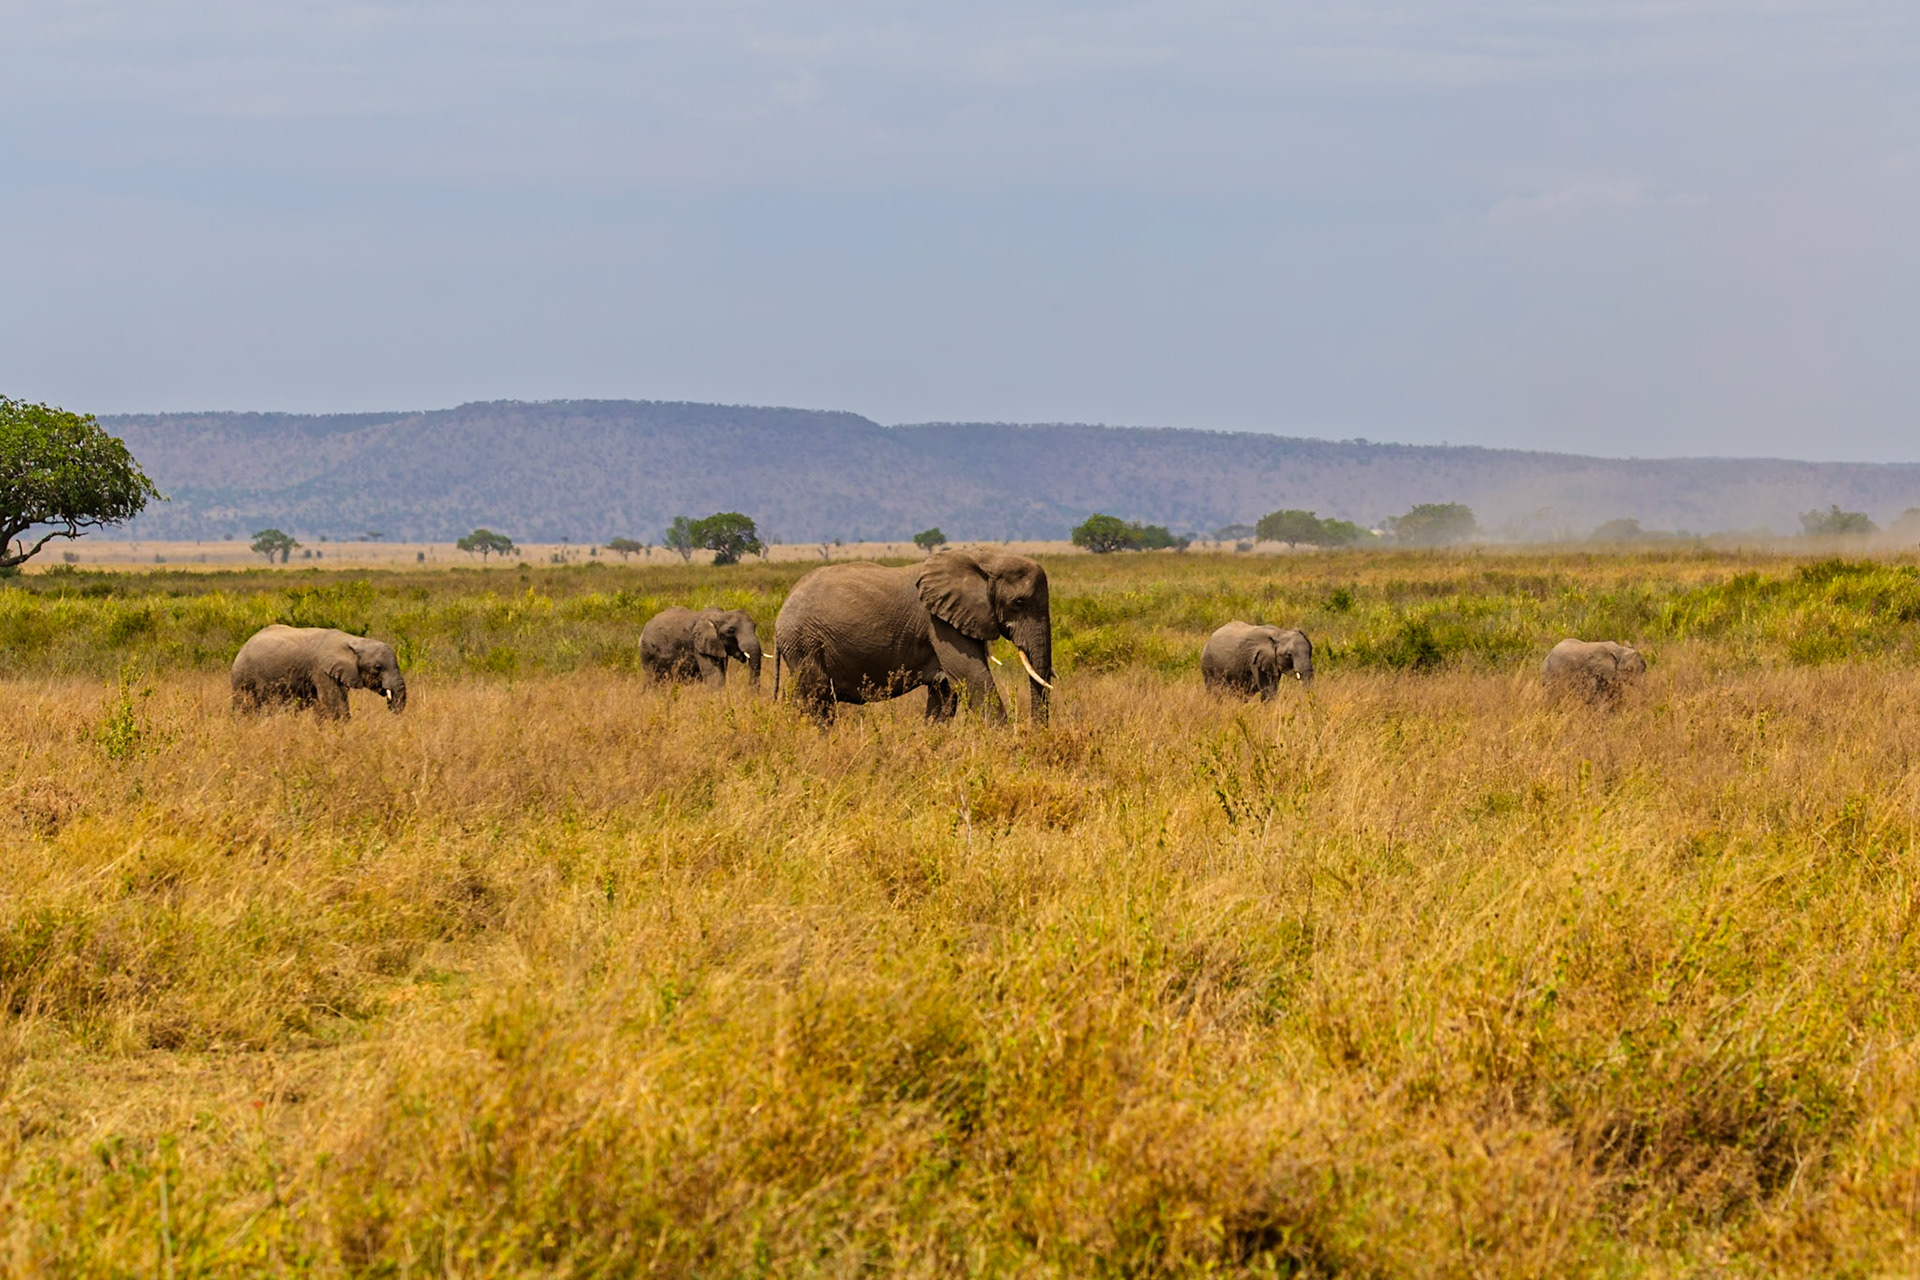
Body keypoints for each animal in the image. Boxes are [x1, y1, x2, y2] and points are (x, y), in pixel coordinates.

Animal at [231, 624, 407, 719]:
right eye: (378, 668)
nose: (391, 705)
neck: (353, 641)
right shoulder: (321, 670)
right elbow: (334, 705)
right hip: (243, 676)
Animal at [774, 549, 1054, 723]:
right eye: (1019, 603)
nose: (1035, 735)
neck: (985, 556)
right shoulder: (939, 623)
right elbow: (973, 678)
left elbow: (944, 693)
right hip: (804, 642)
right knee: (818, 699)